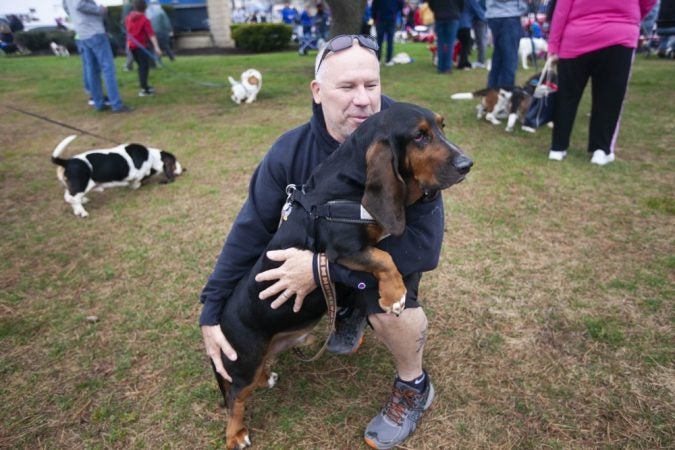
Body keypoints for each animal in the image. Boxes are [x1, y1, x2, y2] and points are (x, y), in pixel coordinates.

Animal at [50, 134, 184, 217]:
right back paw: (82, 212)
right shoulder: (137, 174)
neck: (151, 157)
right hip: (82, 185)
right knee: (73, 198)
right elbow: (137, 182)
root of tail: (66, 162)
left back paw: (81, 205)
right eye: (174, 162)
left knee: (69, 197)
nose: (183, 169)